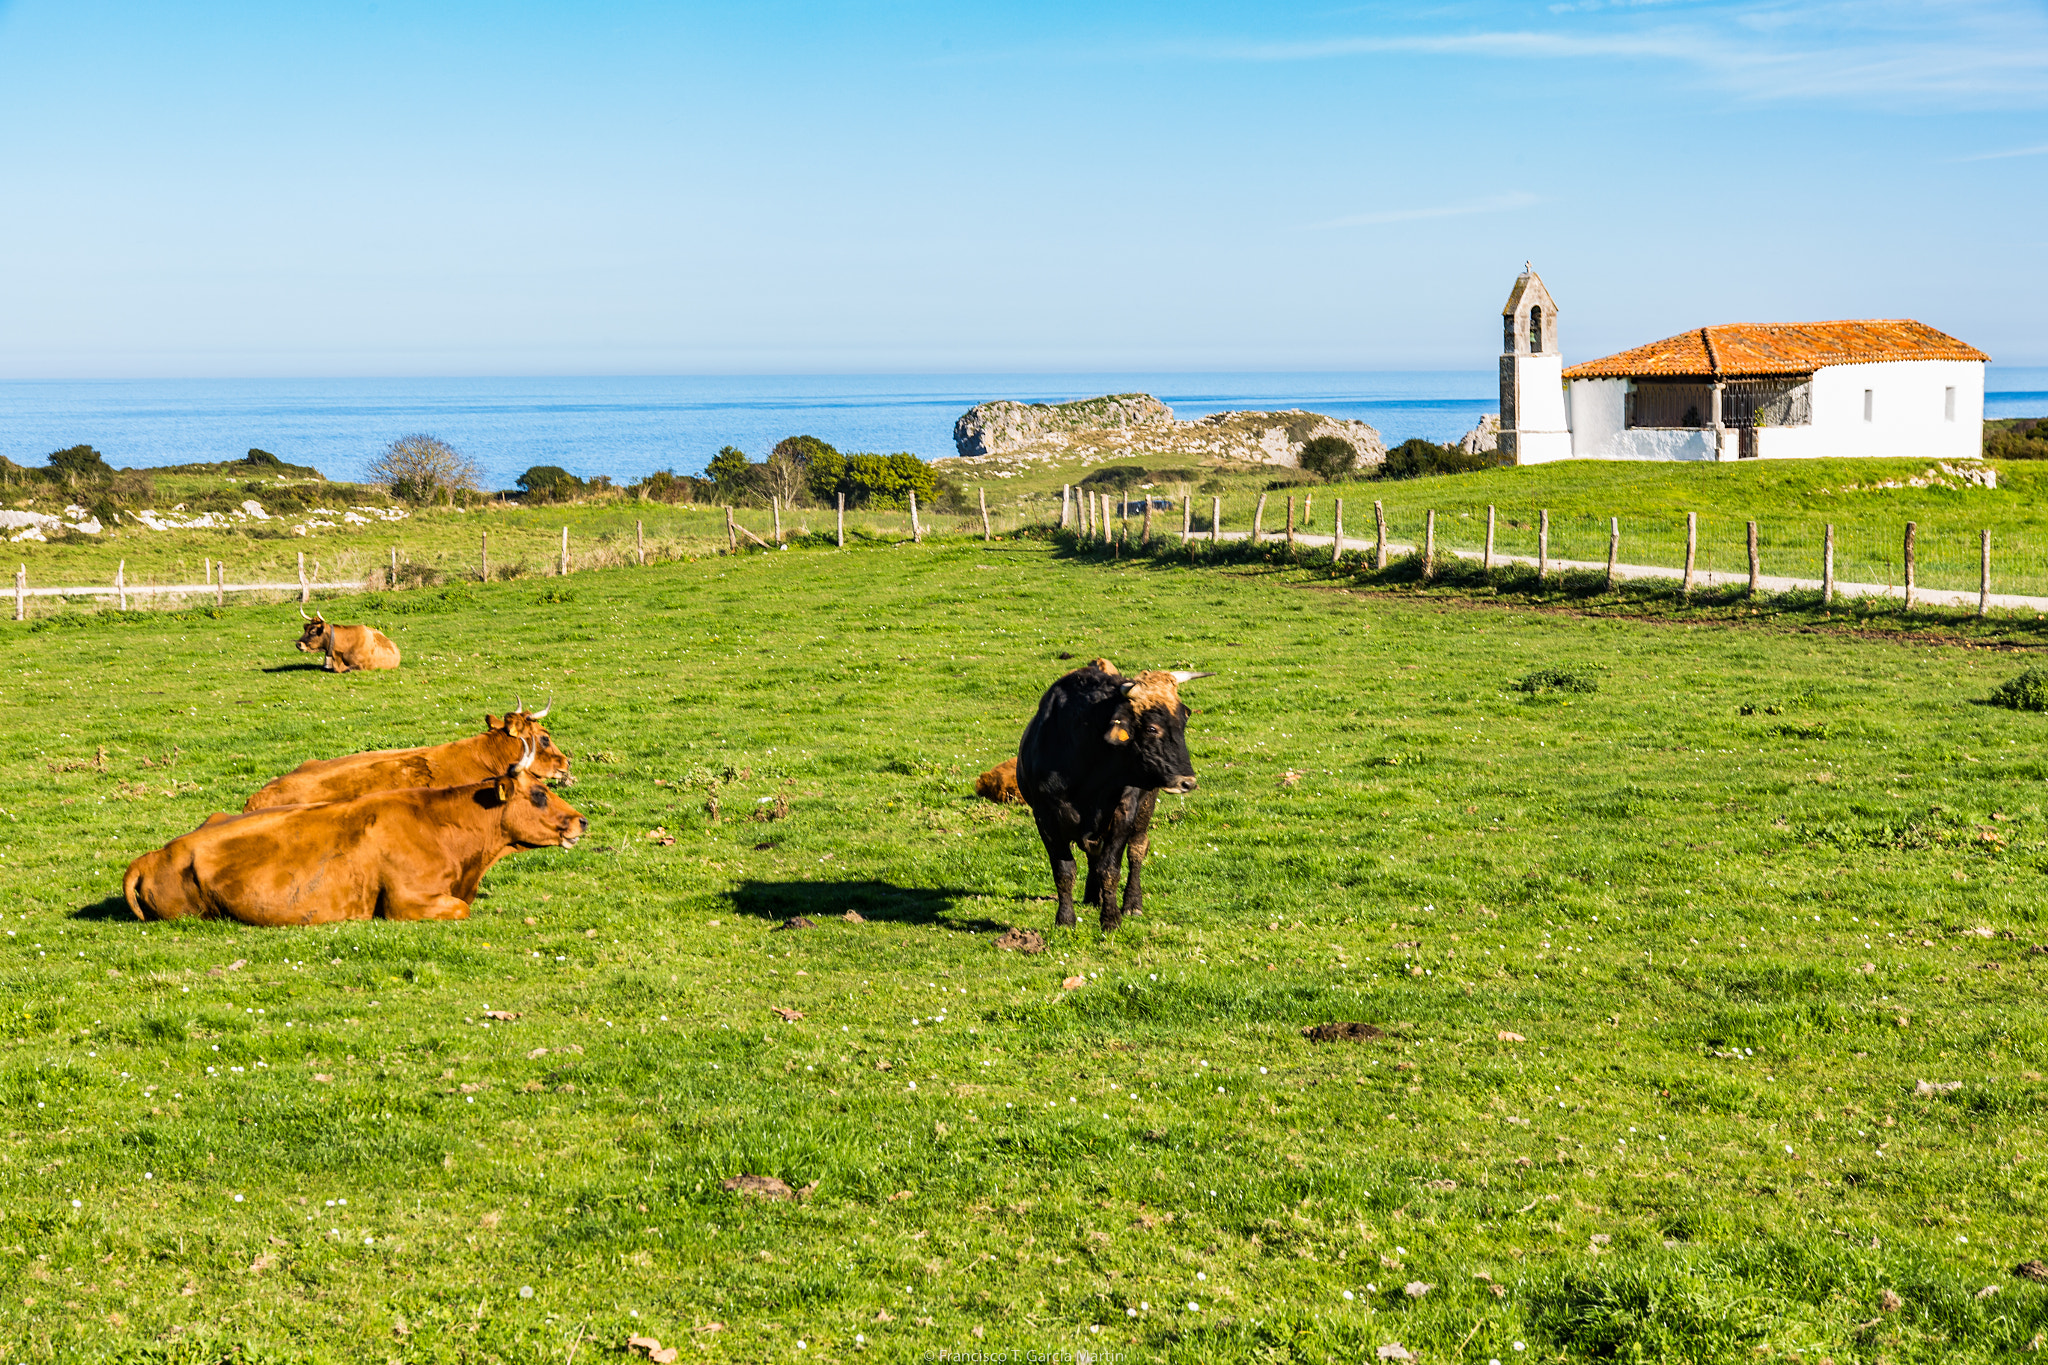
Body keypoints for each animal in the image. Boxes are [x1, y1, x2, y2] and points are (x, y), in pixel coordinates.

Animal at [1015, 658, 1204, 929]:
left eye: (1183, 722)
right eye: (1151, 728)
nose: (1187, 782)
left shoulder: (1123, 811)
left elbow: (1110, 868)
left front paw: (1111, 918)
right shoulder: (1045, 816)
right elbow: (1064, 870)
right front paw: (1065, 919)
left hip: (1145, 808)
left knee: (1137, 849)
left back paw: (1132, 903)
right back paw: (1093, 896)